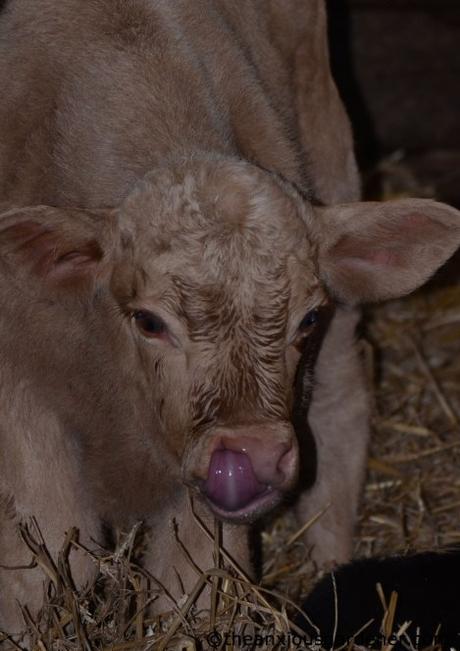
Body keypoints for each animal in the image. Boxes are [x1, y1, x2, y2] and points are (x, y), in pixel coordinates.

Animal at [1, 0, 459, 634]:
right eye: (149, 321)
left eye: (307, 319)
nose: (255, 456)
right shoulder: (21, 385)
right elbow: (41, 547)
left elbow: (190, 588)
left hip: (329, 146)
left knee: (343, 402)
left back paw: (333, 566)